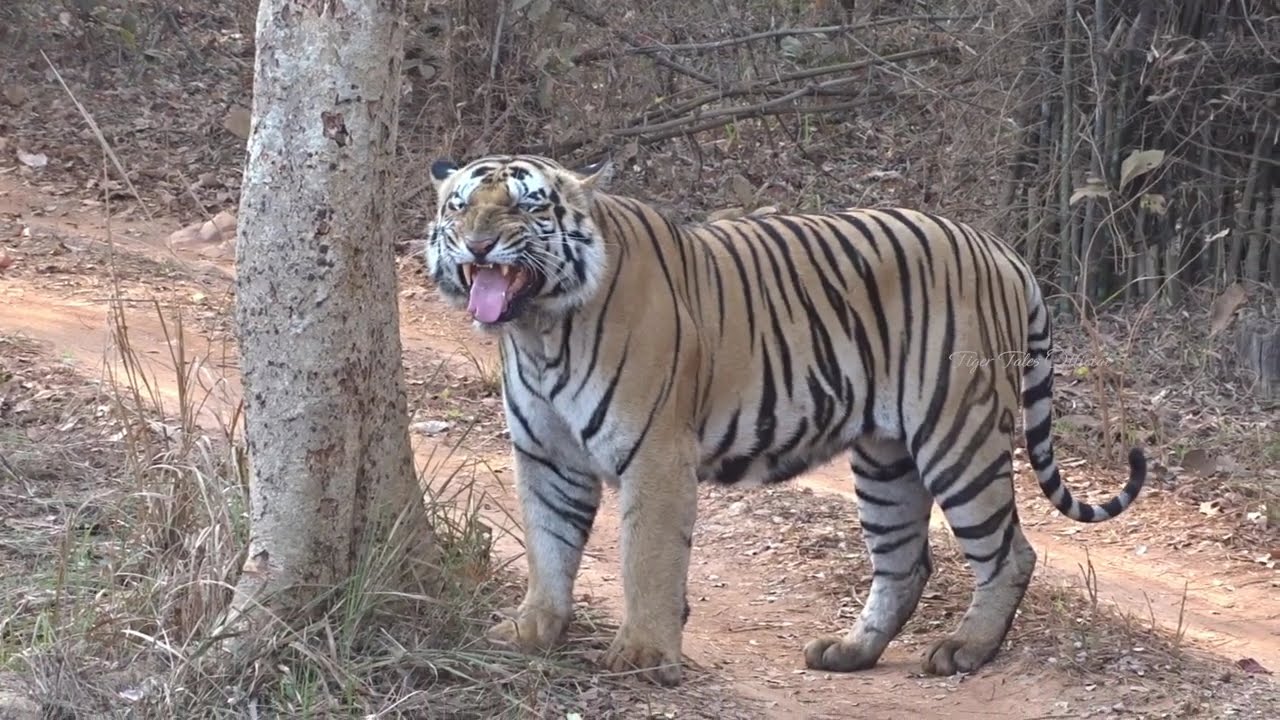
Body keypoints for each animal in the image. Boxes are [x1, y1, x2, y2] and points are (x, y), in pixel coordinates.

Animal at [423, 153, 1146, 686]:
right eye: (459, 206)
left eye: (526, 205)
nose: (478, 244)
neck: (540, 330)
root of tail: (1000, 249)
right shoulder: (546, 457)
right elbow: (547, 545)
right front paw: (530, 631)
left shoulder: (655, 452)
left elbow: (647, 558)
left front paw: (643, 656)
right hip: (885, 456)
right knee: (904, 563)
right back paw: (850, 652)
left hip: (956, 434)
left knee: (1008, 553)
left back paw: (965, 650)